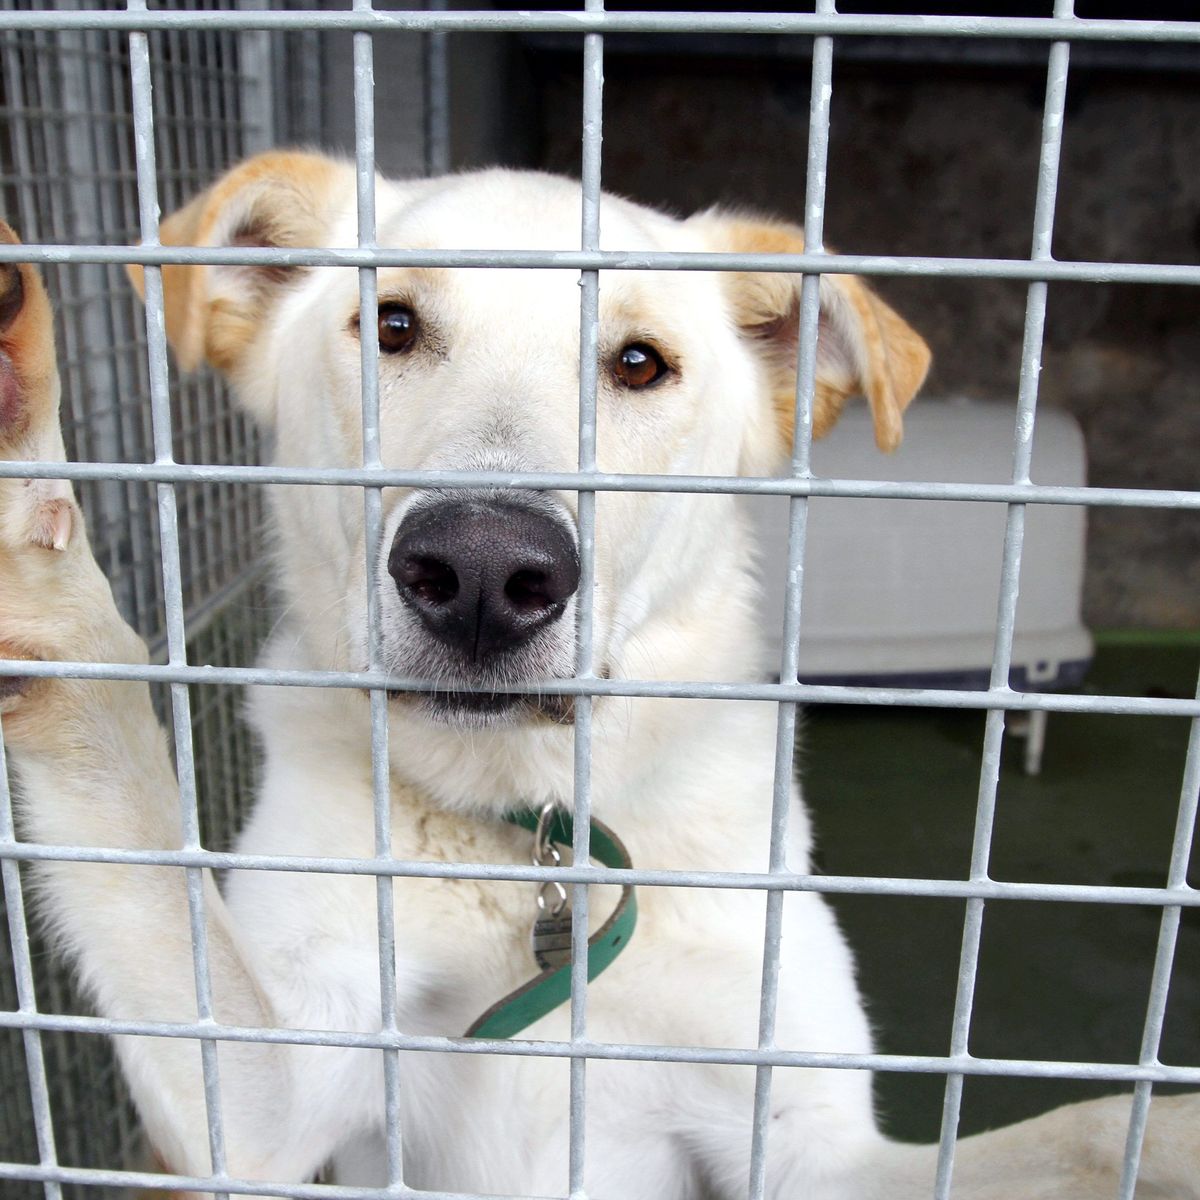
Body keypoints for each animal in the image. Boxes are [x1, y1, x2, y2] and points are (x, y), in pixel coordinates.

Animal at [2, 154, 1200, 1195]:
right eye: (392, 325)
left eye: (639, 363)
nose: (483, 572)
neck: (530, 841)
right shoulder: (261, 1108)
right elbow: (133, 822)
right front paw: (30, 537)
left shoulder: (811, 1147)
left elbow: (1098, 1129)